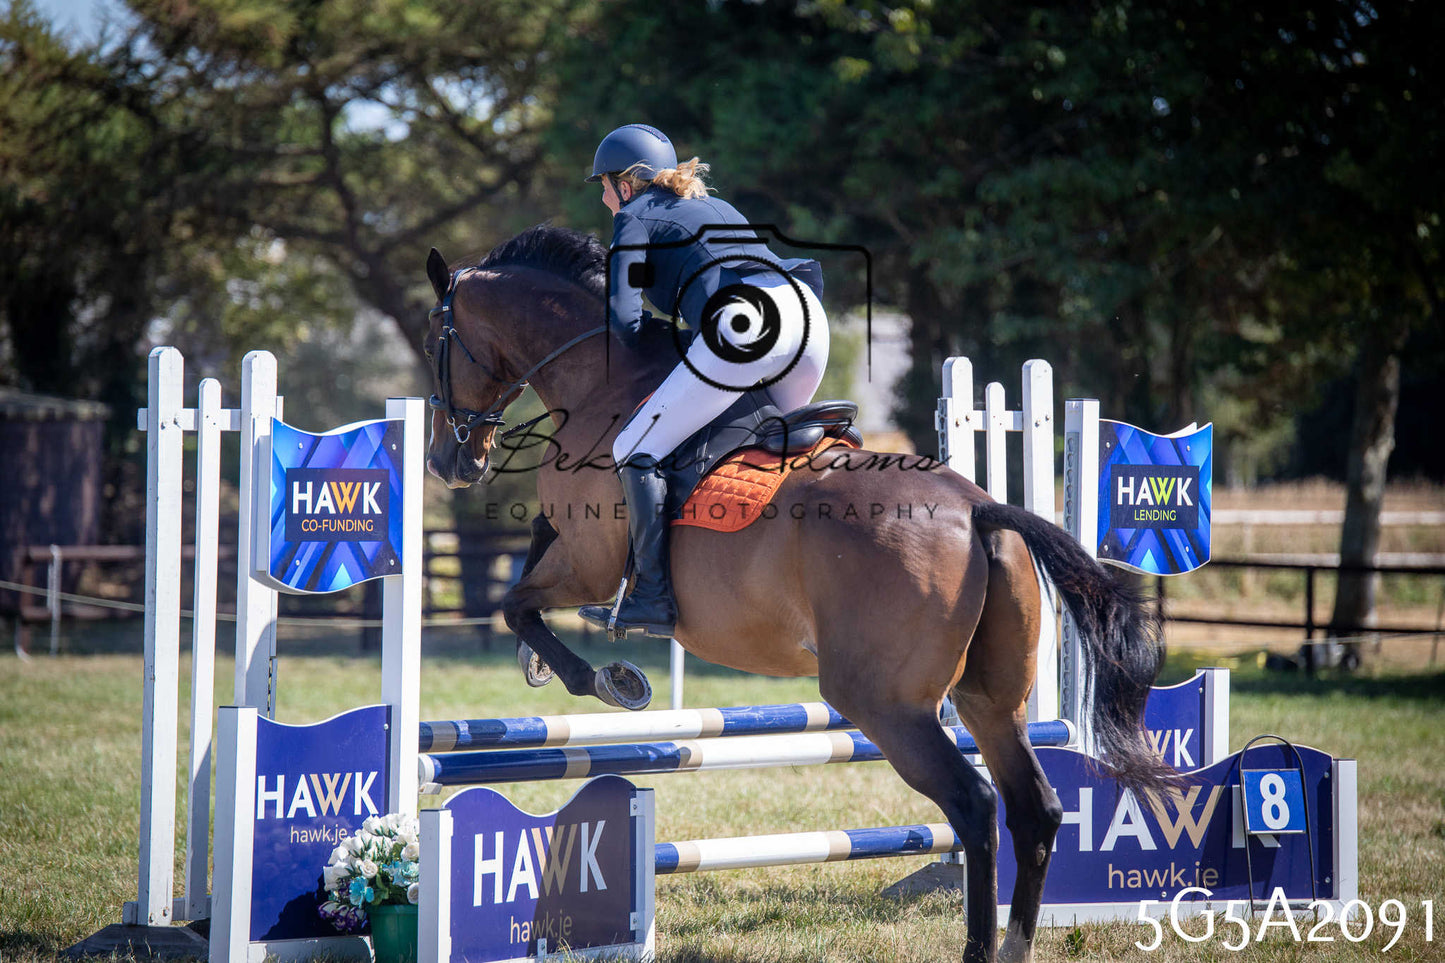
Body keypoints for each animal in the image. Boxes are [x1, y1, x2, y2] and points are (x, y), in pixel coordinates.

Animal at [421, 224, 1175, 963]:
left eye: (434, 346)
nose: (448, 462)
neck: (603, 378)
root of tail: (978, 509)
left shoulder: (591, 564)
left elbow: (517, 603)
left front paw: (605, 679)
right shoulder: (575, 549)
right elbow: (527, 564)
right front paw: (544, 665)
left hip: (883, 703)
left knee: (974, 805)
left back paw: (979, 947)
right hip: (991, 700)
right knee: (1033, 808)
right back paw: (1016, 941)